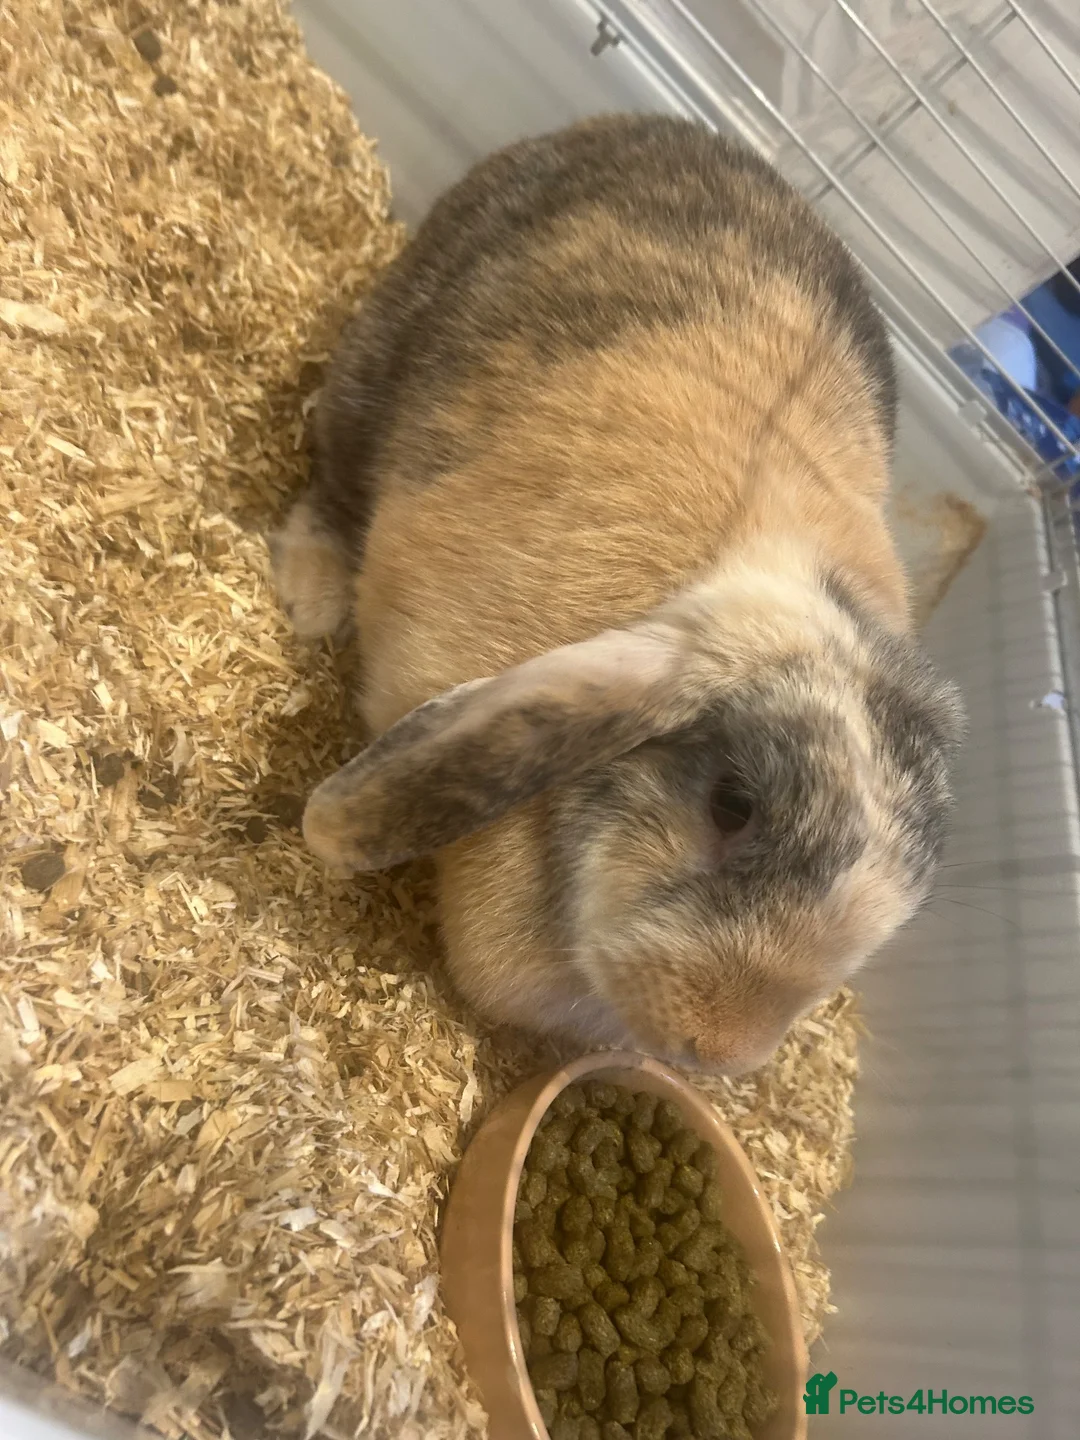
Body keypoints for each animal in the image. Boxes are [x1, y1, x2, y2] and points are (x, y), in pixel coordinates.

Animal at [272, 114, 964, 1076]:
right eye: (731, 804)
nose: (715, 1046)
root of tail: (652, 124)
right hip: (376, 357)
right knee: (334, 474)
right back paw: (312, 591)